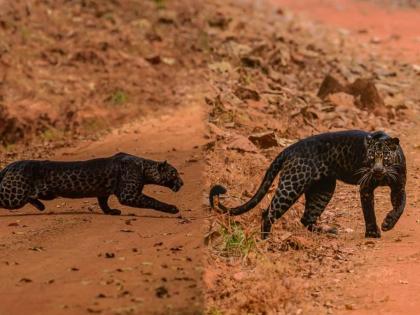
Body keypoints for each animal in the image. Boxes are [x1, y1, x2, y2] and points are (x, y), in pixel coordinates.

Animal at [0, 152, 184, 215]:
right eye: (174, 173)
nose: (182, 183)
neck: (144, 167)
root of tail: (11, 165)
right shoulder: (129, 195)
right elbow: (152, 200)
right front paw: (173, 209)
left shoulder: (103, 192)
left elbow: (103, 203)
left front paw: (111, 212)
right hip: (14, 196)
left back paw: (41, 206)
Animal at [210, 131, 406, 239]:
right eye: (371, 157)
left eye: (385, 157)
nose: (377, 170)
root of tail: (290, 148)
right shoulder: (365, 188)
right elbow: (369, 211)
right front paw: (373, 233)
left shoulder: (398, 187)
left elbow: (400, 206)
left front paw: (388, 223)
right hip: (293, 184)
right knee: (268, 213)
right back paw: (266, 241)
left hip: (323, 189)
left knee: (307, 218)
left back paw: (328, 231)